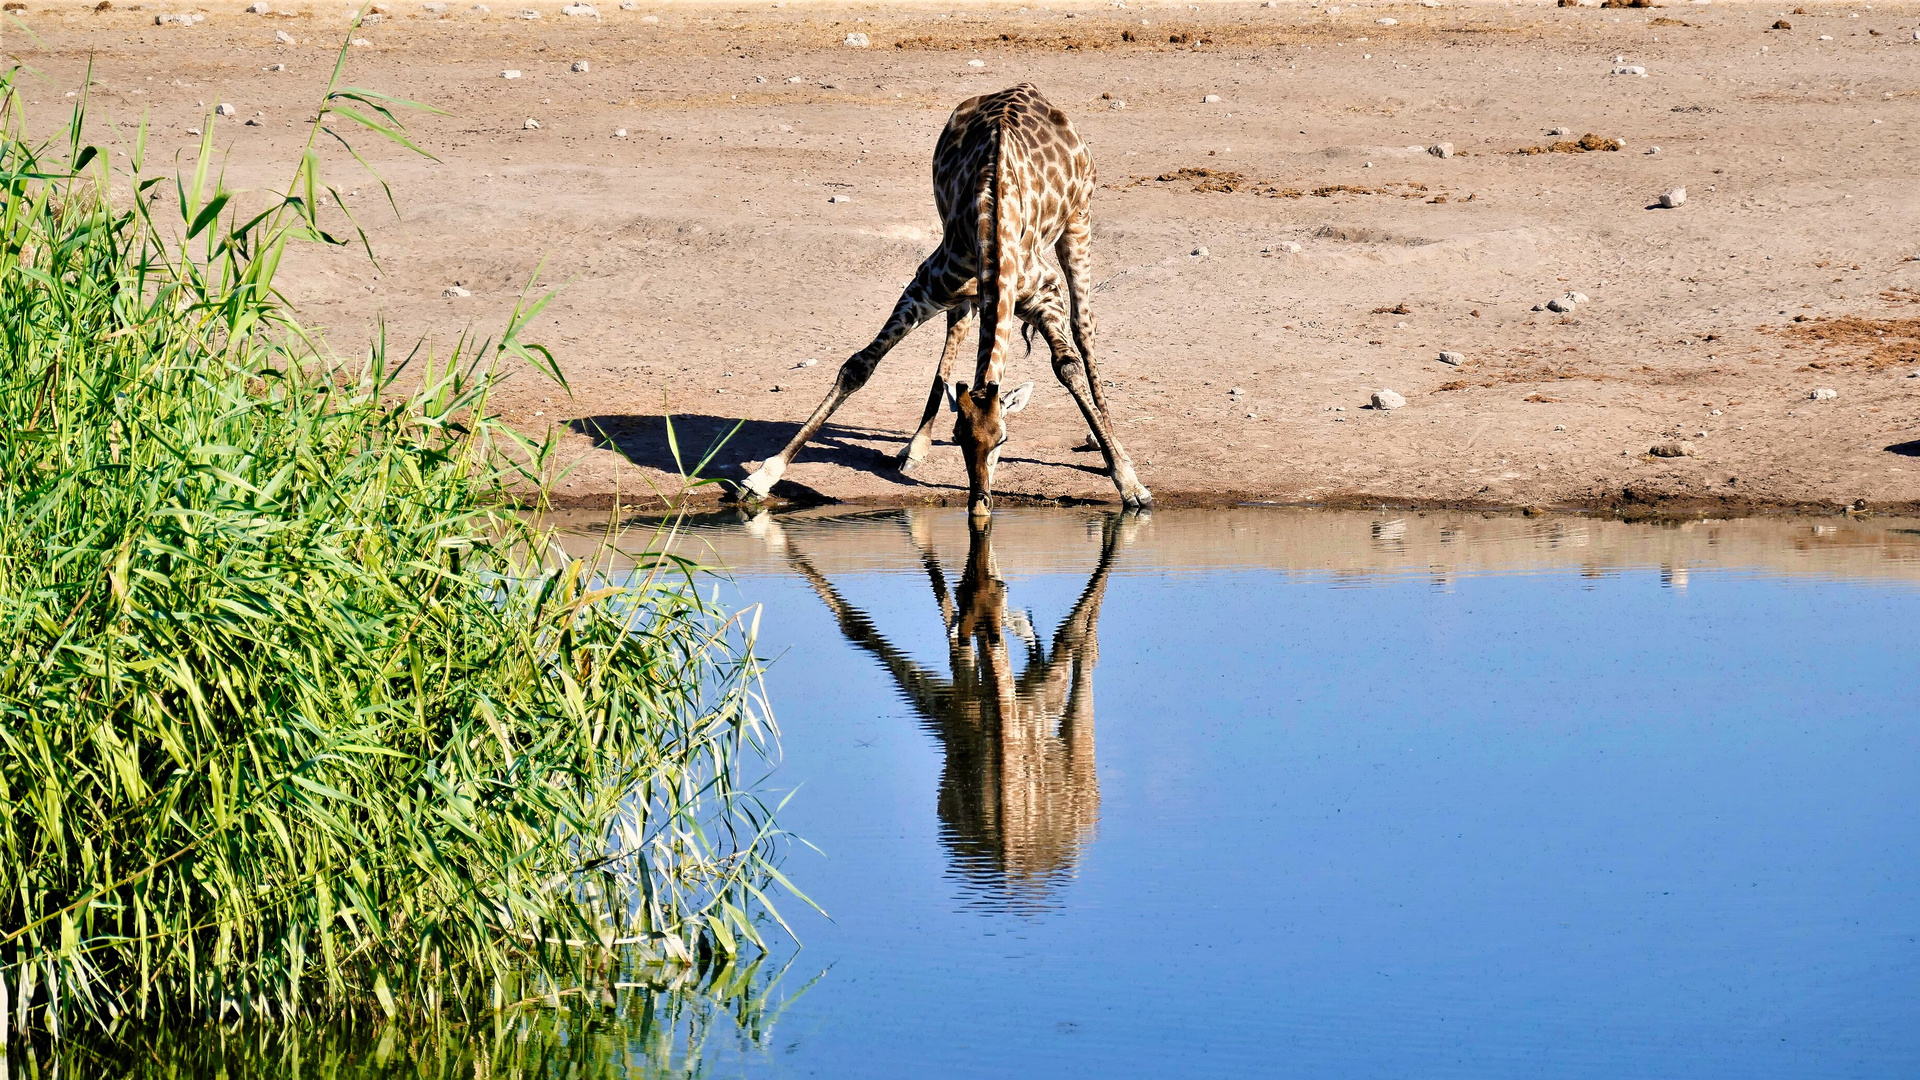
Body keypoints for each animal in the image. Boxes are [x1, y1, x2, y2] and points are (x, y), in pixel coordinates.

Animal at [737, 84, 1152, 511]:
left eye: (1003, 439)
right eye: (957, 439)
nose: (980, 501)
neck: (993, 223)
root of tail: (1028, 89)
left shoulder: (1045, 295)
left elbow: (1068, 367)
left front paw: (1129, 482)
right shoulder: (926, 286)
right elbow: (858, 366)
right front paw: (763, 476)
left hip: (1079, 219)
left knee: (1084, 325)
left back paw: (1108, 442)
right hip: (962, 273)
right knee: (962, 321)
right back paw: (916, 445)